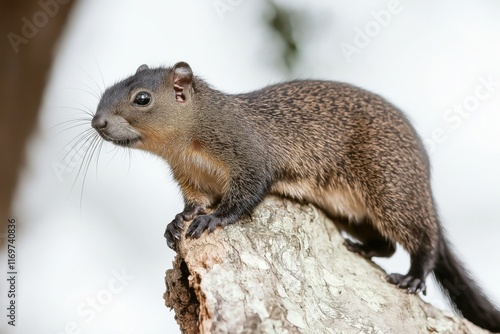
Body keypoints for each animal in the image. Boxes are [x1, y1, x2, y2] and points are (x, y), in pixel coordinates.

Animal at [91, 61, 500, 330]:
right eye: (106, 91)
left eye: (142, 98)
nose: (97, 122)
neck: (187, 146)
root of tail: (422, 173)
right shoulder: (190, 179)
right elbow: (192, 203)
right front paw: (177, 223)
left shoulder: (249, 156)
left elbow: (246, 194)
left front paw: (212, 219)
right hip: (349, 210)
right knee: (385, 244)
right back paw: (362, 249)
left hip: (390, 189)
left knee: (425, 239)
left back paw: (413, 278)